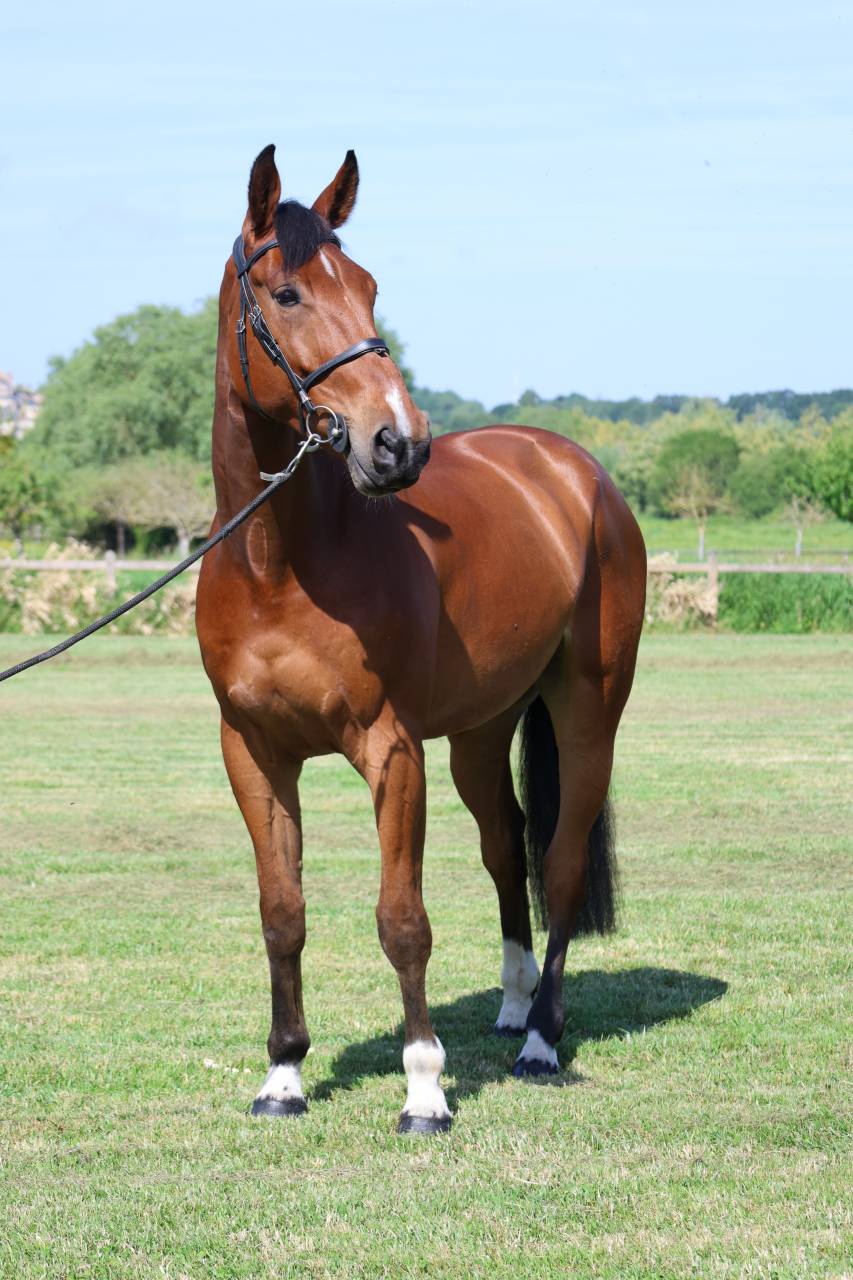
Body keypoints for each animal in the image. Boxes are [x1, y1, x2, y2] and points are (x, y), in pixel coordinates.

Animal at [195, 144, 646, 1135]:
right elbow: (281, 910)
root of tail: (576, 471)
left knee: (556, 864)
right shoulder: (253, 752)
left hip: (587, 710)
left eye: (367, 285)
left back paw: (540, 1040)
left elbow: (401, 919)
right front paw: (283, 1076)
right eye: (286, 293)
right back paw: (512, 1003)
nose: (398, 444)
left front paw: (425, 1089)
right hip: (480, 731)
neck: (281, 564)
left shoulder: (391, 752)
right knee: (505, 842)